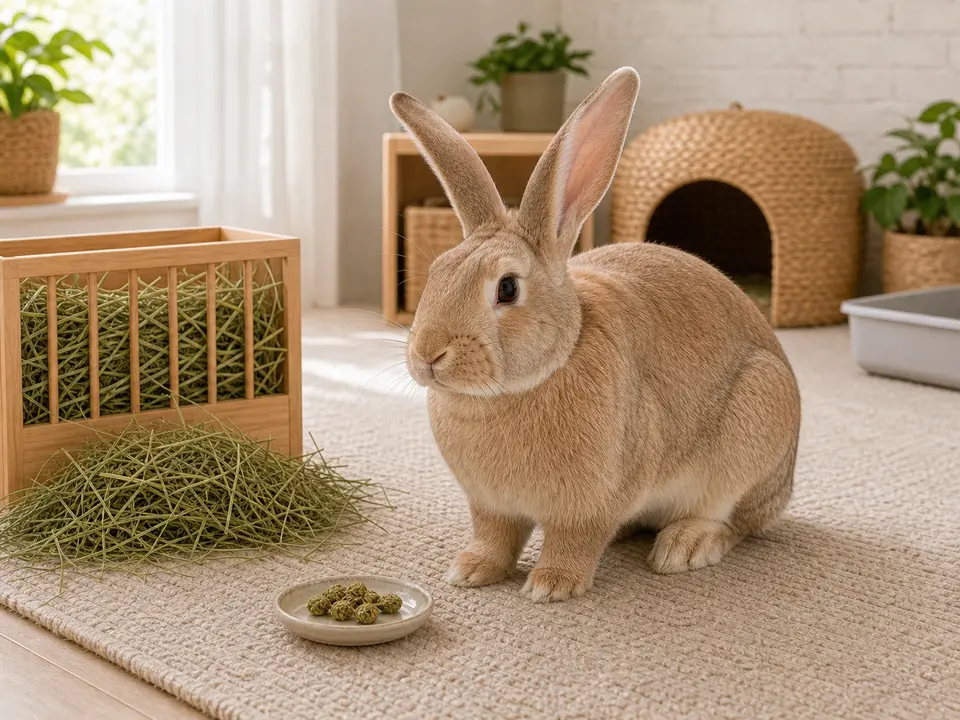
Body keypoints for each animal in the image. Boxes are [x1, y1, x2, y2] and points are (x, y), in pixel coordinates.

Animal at [389, 67, 802, 603]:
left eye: (507, 288)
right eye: (437, 271)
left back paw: (684, 547)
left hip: (754, 425)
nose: (428, 355)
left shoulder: (591, 504)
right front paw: (471, 571)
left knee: (734, 522)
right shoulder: (490, 505)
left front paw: (551, 586)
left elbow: (575, 541)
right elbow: (494, 537)